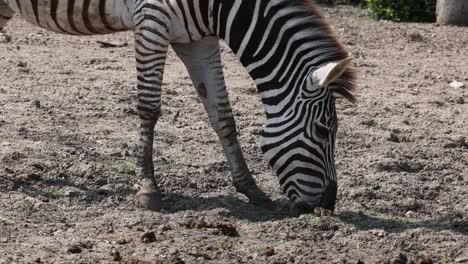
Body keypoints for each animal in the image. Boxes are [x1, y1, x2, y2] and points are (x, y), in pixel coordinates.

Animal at [0, 0, 354, 214]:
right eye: (323, 131)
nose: (327, 205)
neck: (219, 8)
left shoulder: (198, 40)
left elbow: (222, 115)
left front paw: (250, 188)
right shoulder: (152, 24)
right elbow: (148, 108)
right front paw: (148, 189)